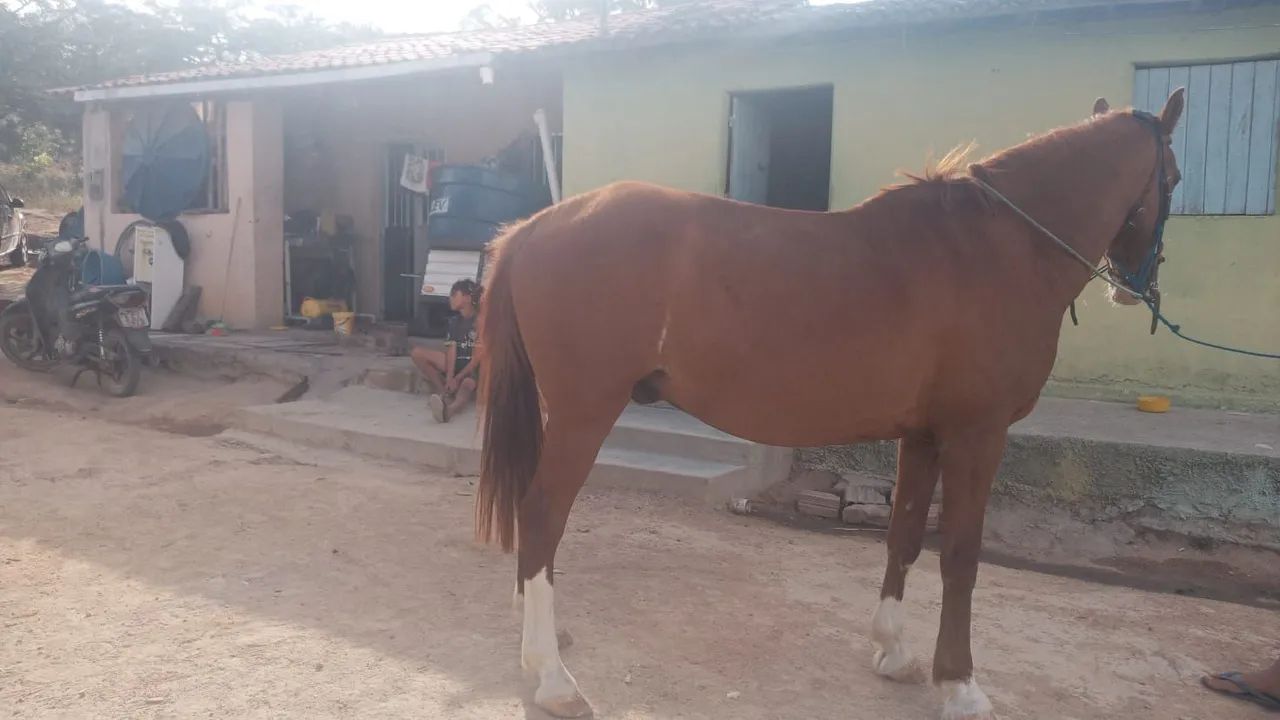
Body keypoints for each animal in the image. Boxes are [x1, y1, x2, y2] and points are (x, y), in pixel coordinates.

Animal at [474, 89, 1185, 720]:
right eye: (1175, 176)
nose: (1139, 287)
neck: (997, 248)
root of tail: (534, 228)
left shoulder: (923, 434)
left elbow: (904, 535)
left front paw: (895, 652)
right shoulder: (976, 435)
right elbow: (961, 554)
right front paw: (961, 685)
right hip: (584, 411)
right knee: (542, 513)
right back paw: (552, 678)